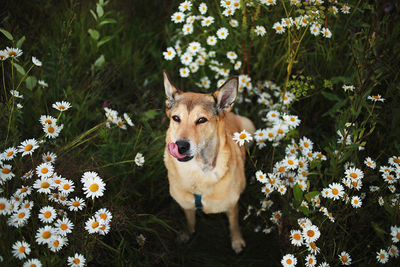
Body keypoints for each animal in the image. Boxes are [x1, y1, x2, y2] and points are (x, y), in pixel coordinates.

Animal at [163, 70, 255, 253]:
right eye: (176, 118)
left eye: (201, 120)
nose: (181, 146)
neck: (197, 172)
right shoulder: (186, 205)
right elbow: (190, 221)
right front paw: (187, 233)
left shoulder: (232, 205)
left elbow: (234, 224)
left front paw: (237, 241)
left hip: (250, 127)